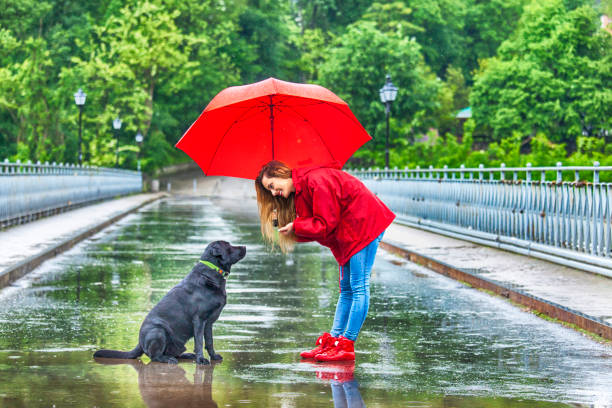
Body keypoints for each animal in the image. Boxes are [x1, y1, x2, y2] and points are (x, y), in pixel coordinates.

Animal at [93, 241, 246, 364]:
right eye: (229, 246)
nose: (245, 246)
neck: (211, 272)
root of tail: (139, 343)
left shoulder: (209, 323)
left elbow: (209, 342)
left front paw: (213, 357)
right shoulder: (199, 319)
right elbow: (199, 341)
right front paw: (201, 359)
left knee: (173, 353)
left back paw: (186, 355)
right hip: (158, 331)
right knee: (155, 356)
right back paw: (168, 360)